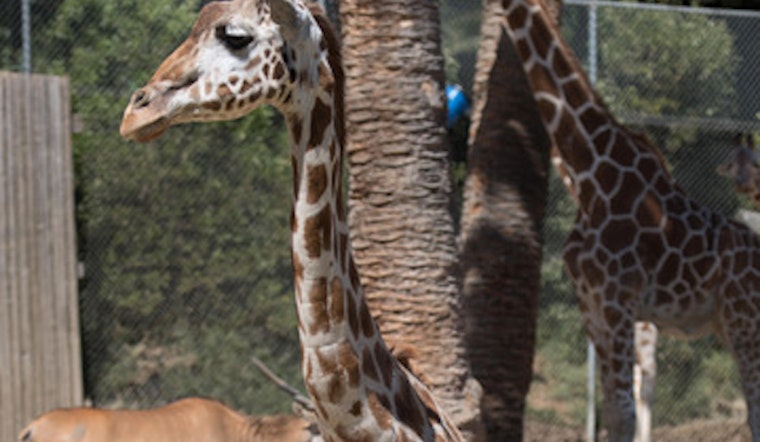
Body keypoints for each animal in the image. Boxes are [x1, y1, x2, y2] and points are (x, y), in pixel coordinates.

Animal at [497, 0, 760, 441]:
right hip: (727, 322)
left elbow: (625, 411)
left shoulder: (618, 300)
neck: (590, 171)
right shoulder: (592, 305)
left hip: (744, 318)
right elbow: (613, 411)